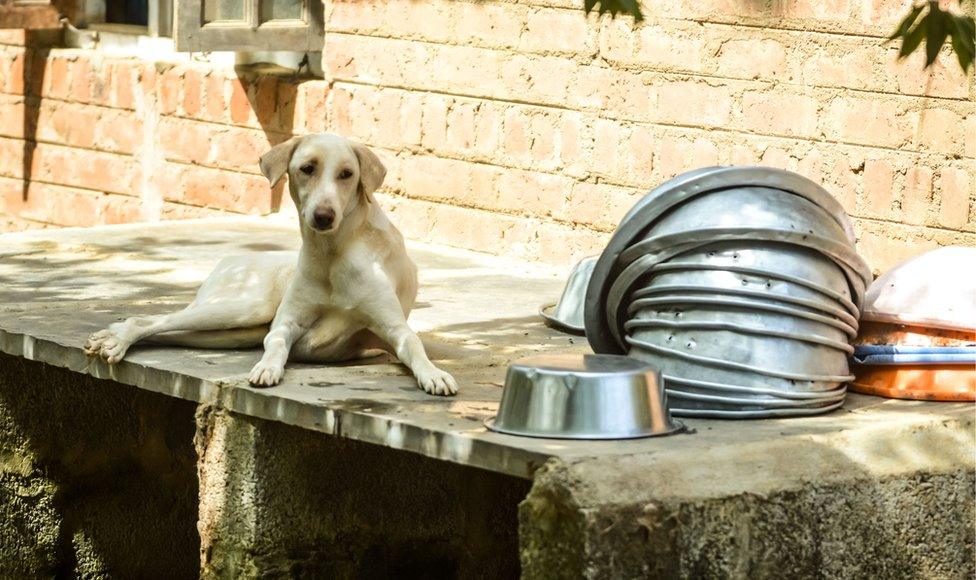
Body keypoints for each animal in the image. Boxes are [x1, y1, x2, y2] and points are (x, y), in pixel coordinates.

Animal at [86, 133, 460, 394]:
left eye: (347, 174)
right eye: (307, 168)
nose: (324, 216)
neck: (332, 253)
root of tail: (232, 258)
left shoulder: (395, 328)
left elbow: (414, 345)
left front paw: (434, 374)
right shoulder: (285, 324)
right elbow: (277, 343)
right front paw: (268, 368)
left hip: (227, 331)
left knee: (164, 329)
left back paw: (109, 336)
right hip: (241, 309)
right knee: (148, 320)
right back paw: (115, 340)